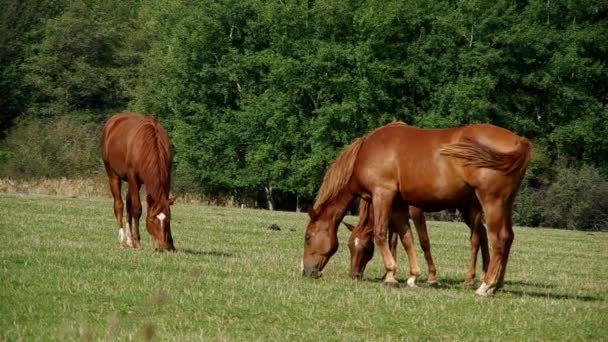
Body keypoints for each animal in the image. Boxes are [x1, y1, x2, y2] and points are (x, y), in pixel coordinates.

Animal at [100, 112, 176, 251]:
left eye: (166, 221)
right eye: (151, 220)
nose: (161, 246)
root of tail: (113, 121)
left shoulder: (167, 178)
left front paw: (171, 244)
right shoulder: (133, 178)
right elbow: (137, 209)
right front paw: (138, 242)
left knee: (128, 203)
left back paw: (129, 240)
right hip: (113, 174)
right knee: (119, 204)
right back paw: (123, 240)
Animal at [342, 199, 490, 288]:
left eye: (367, 246)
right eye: (349, 246)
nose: (354, 275)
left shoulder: (416, 211)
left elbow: (424, 241)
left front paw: (431, 276)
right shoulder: (394, 217)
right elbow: (392, 243)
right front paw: (389, 275)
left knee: (476, 240)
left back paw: (470, 278)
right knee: (483, 233)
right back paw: (485, 274)